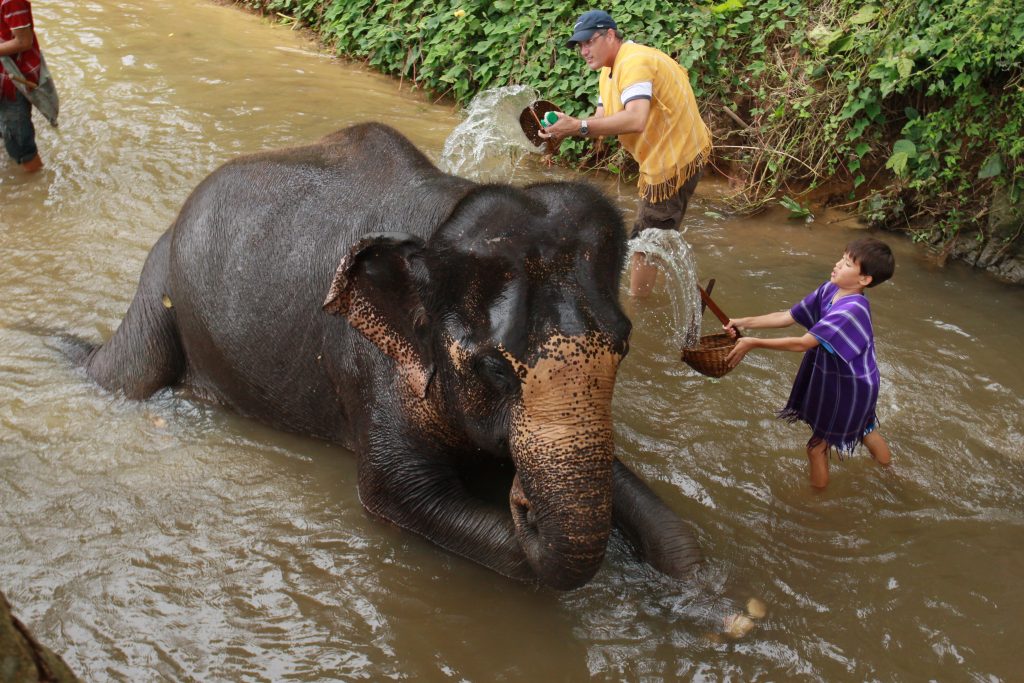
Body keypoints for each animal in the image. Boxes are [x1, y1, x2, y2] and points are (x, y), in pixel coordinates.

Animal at [81, 121, 704, 589]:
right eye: (493, 368)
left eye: (624, 347)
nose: (521, 495)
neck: (448, 215)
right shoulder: (366, 362)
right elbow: (399, 495)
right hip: (160, 279)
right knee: (128, 375)